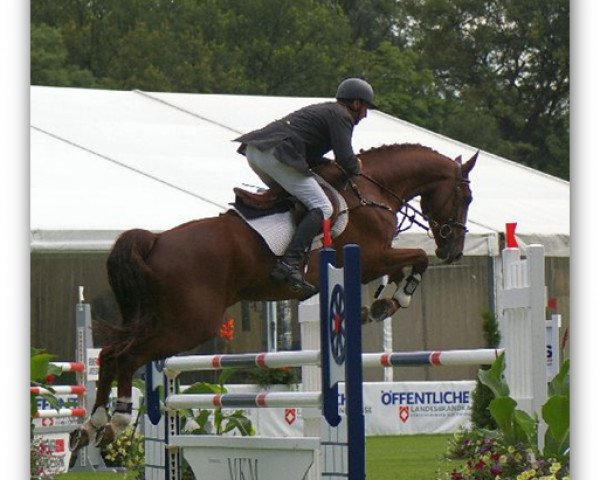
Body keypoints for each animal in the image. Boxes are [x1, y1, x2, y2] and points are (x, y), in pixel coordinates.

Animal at [68, 142, 476, 450]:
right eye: (465, 196)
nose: (453, 250)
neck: (369, 192)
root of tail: (154, 240)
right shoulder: (371, 256)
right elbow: (416, 258)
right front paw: (394, 299)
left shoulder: (378, 258)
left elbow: (407, 263)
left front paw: (380, 301)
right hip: (190, 325)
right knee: (128, 355)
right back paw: (118, 419)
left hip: (162, 319)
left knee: (110, 353)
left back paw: (92, 424)